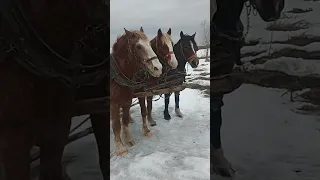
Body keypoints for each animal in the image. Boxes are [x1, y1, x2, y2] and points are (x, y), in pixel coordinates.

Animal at [111, 28, 164, 156]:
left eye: (150, 44)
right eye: (139, 46)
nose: (158, 68)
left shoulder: (127, 101)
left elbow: (124, 119)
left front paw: (128, 139)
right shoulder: (114, 103)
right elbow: (116, 124)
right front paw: (120, 148)